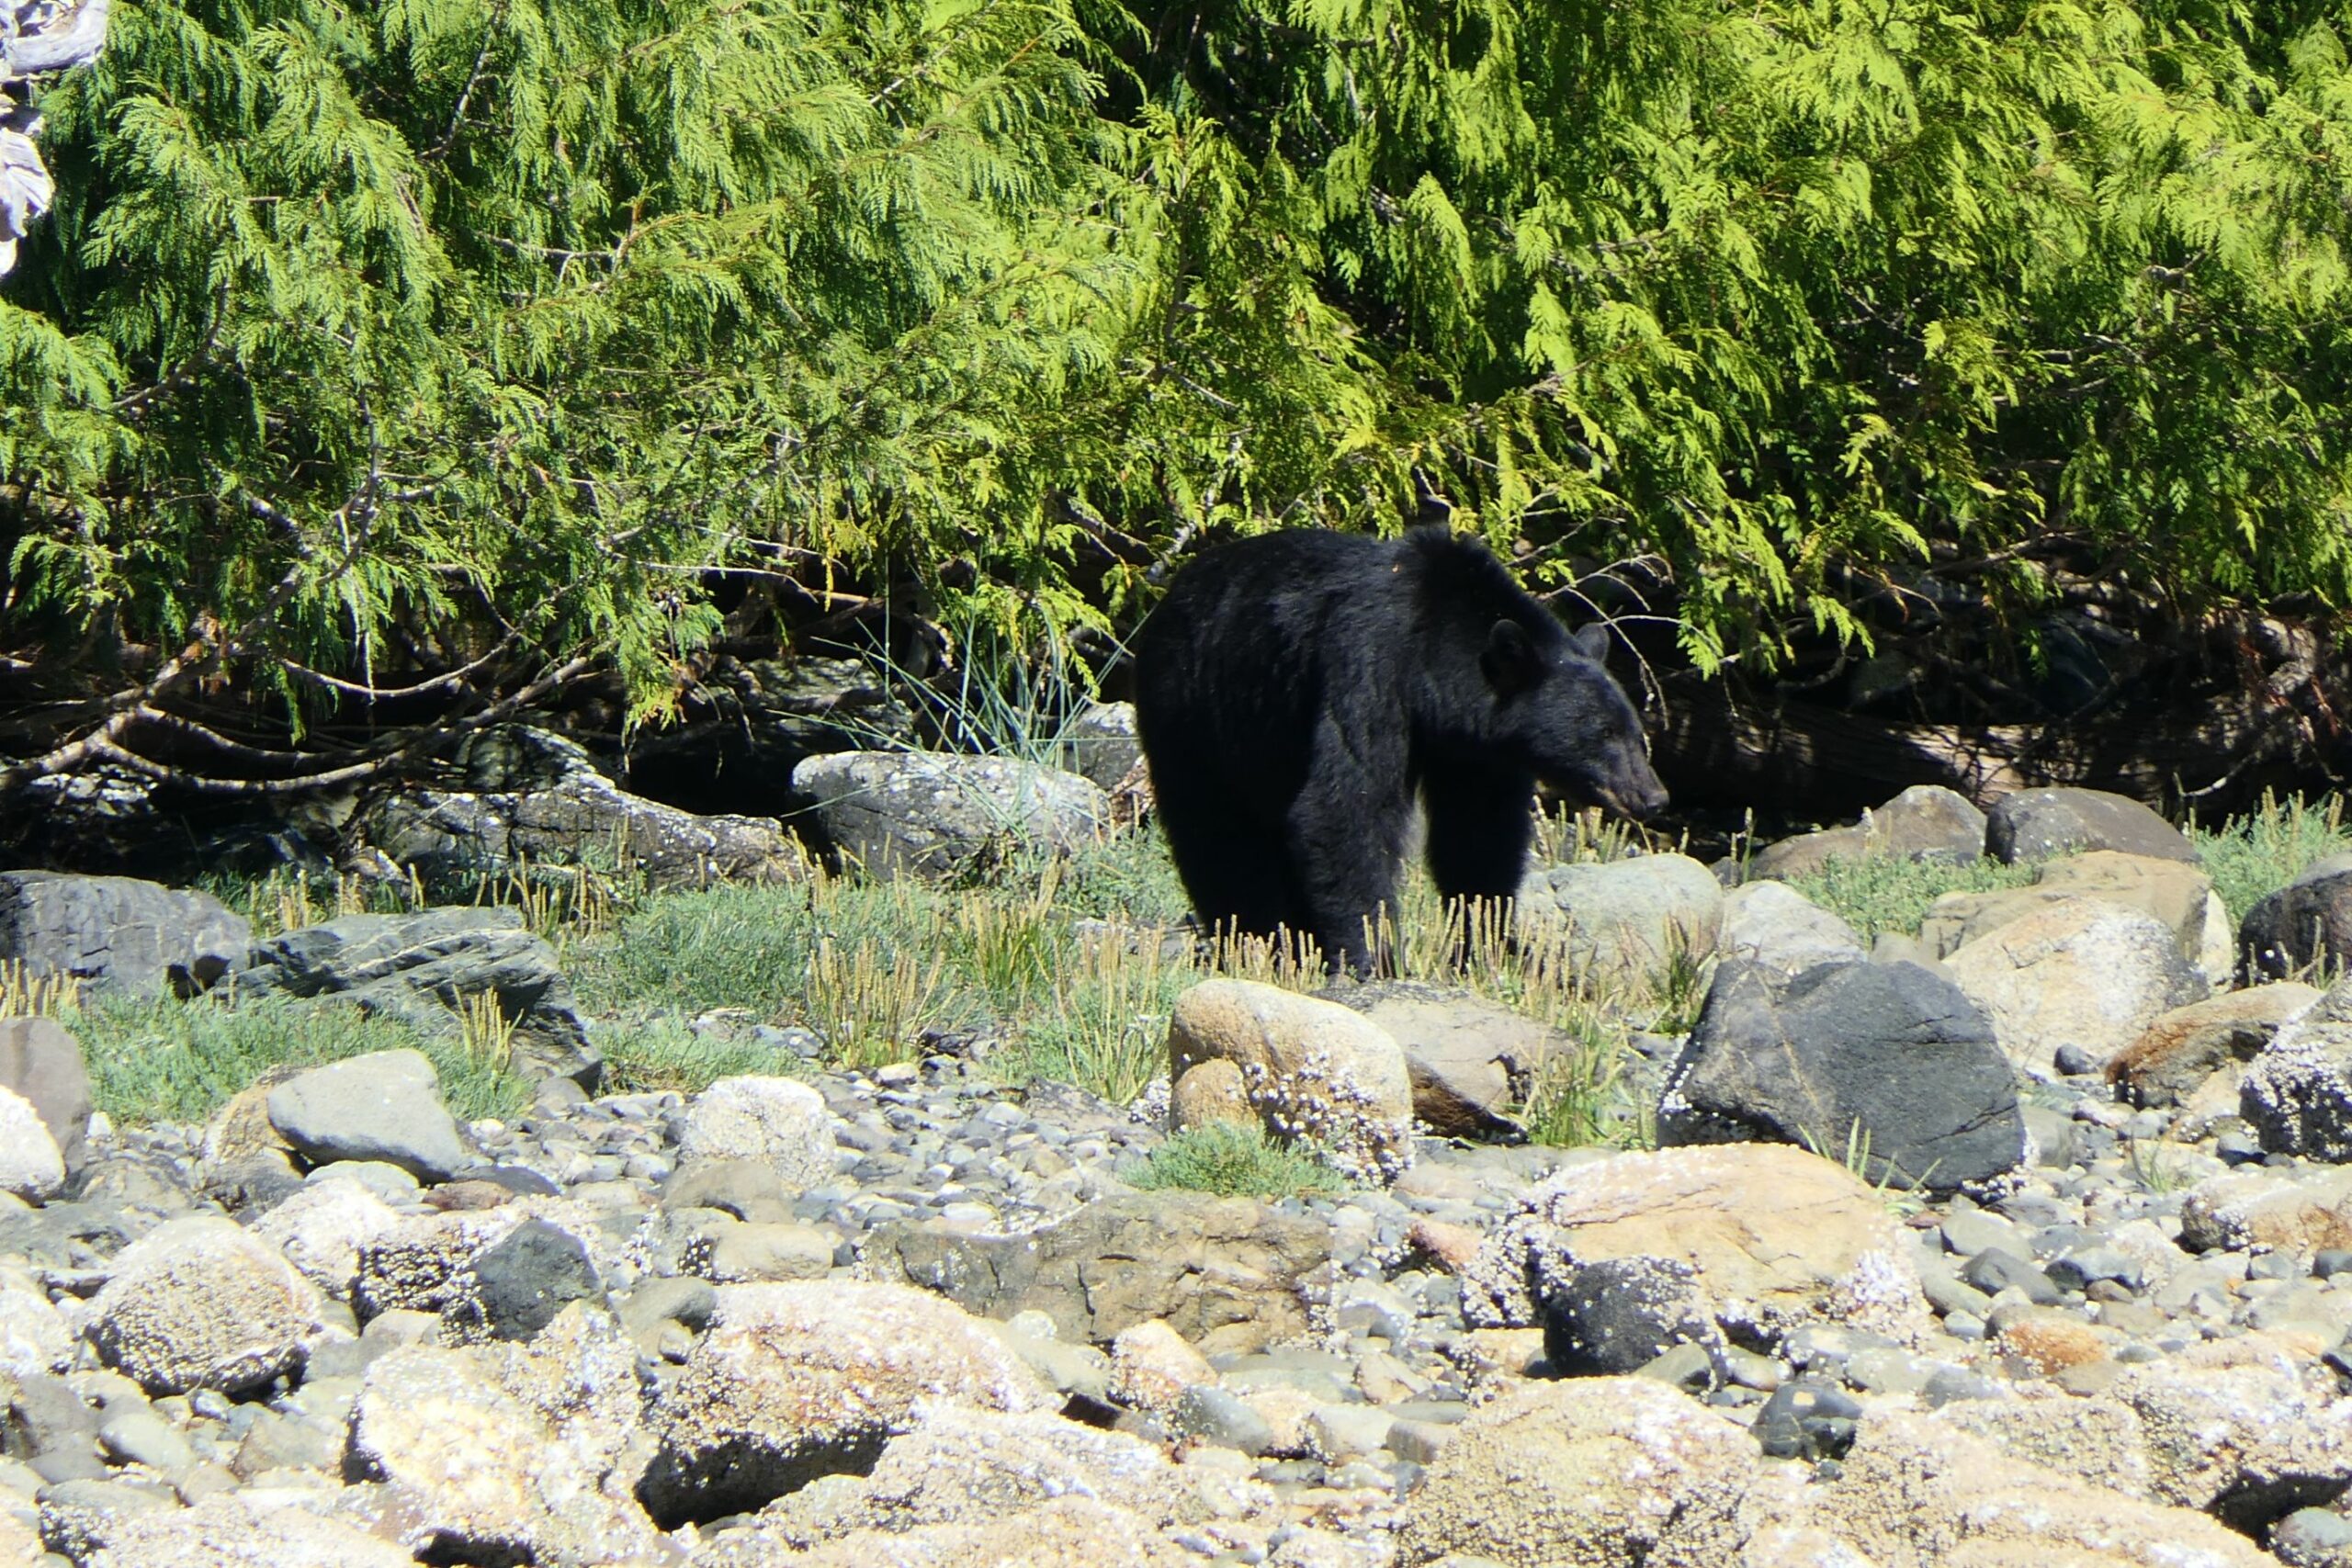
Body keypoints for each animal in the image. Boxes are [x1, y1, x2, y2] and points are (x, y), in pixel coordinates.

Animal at [1132, 524, 1668, 974]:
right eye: (1603, 734)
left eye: (1635, 734)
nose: (1653, 797)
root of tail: (1167, 597)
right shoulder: (1367, 665)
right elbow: (1344, 805)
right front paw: (1375, 955)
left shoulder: (1475, 750)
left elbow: (1479, 833)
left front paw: (1488, 943)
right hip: (1191, 711)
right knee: (1217, 836)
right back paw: (1259, 939)